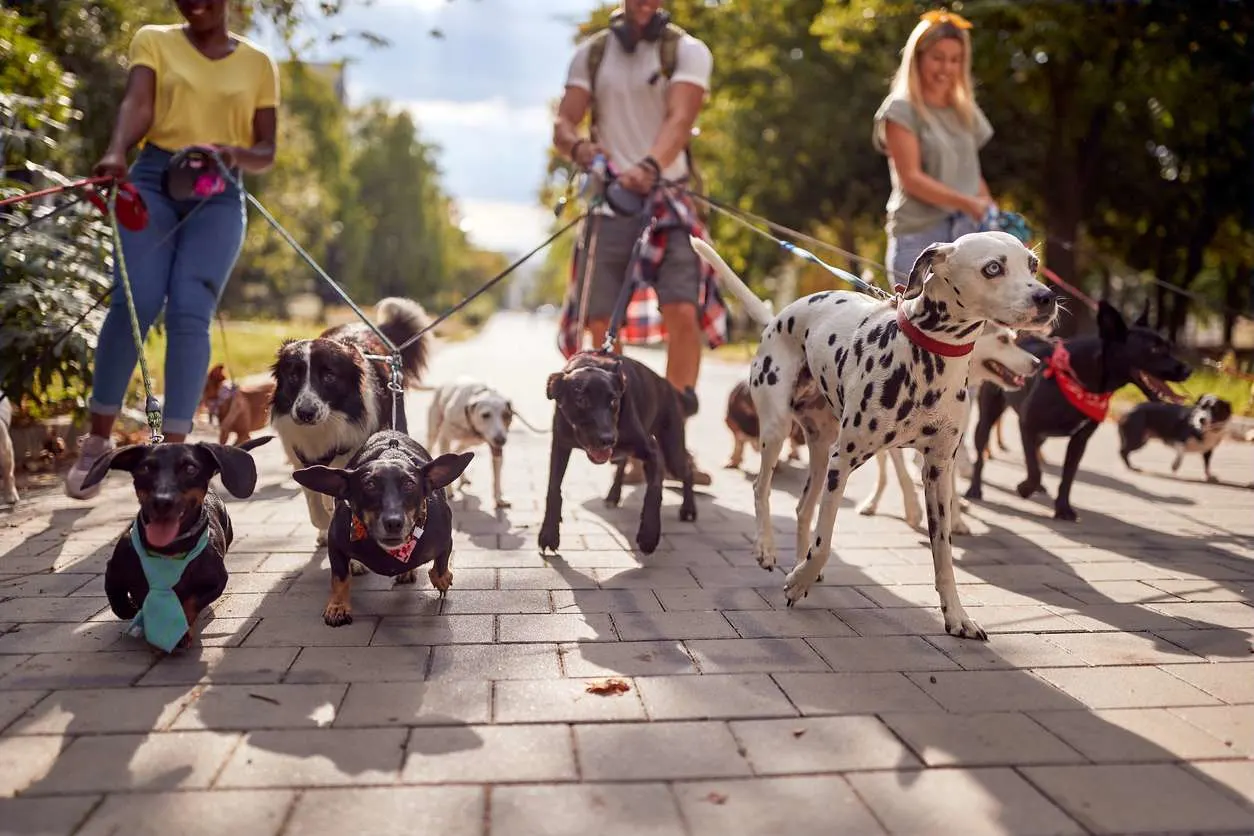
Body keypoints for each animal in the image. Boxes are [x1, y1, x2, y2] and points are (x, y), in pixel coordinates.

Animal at [269, 297, 431, 546]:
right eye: (293, 376)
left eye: (329, 376)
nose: (305, 413)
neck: (326, 426)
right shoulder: (300, 455)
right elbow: (315, 502)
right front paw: (324, 526)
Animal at [290, 436, 471, 624]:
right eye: (369, 485)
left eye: (409, 484)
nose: (393, 523)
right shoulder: (335, 542)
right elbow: (339, 577)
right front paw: (338, 606)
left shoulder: (445, 538)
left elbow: (442, 561)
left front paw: (442, 579)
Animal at [428, 378, 541, 511]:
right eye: (485, 415)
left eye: (507, 415)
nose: (501, 440)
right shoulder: (444, 438)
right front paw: (449, 491)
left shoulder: (496, 449)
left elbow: (497, 478)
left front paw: (499, 500)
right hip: (434, 431)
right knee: (431, 445)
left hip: (469, 443)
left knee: (458, 451)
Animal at [857, 325, 1043, 536]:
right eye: (1003, 339)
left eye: (1014, 339)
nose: (1037, 363)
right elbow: (902, 474)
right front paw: (913, 511)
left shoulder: (949, 441)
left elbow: (948, 486)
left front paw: (955, 520)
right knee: (883, 473)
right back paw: (871, 503)